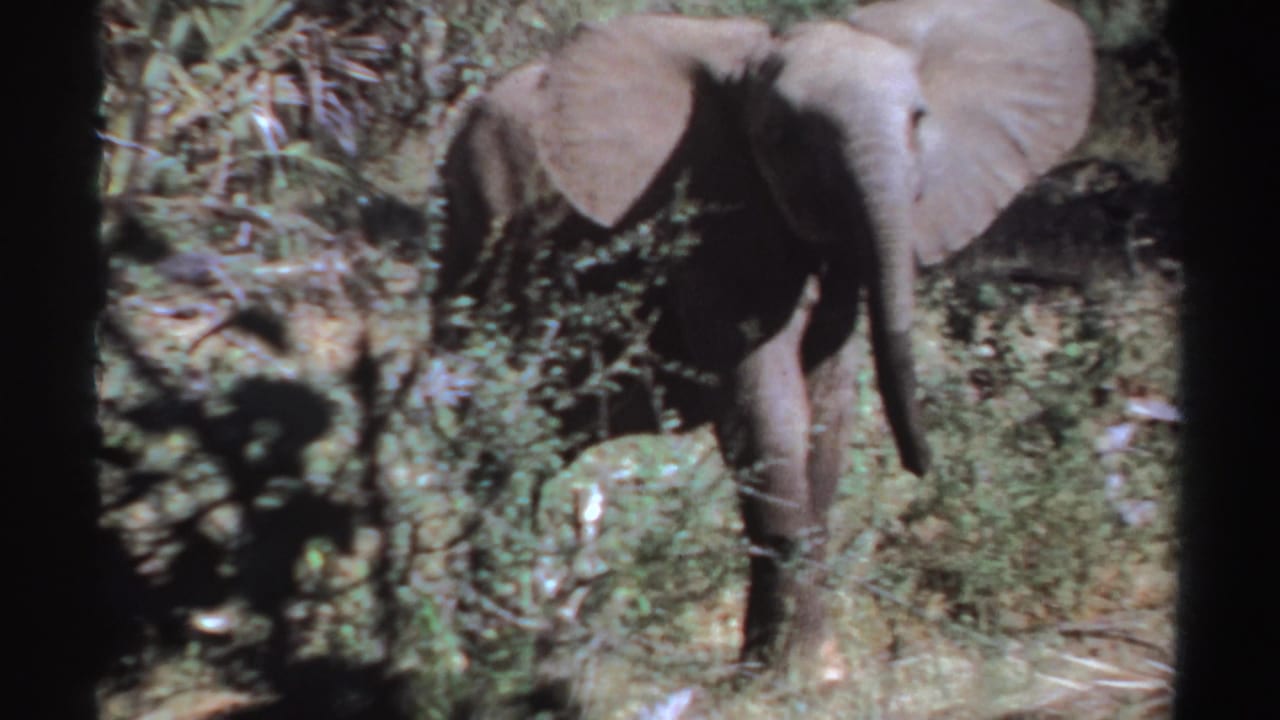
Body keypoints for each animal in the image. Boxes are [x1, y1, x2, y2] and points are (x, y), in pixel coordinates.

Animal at [435, 0, 1094, 674]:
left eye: (919, 119)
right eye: (781, 138)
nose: (922, 467)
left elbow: (827, 417)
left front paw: (810, 666)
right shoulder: (712, 226)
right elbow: (772, 413)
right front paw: (797, 676)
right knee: (495, 443)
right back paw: (491, 650)